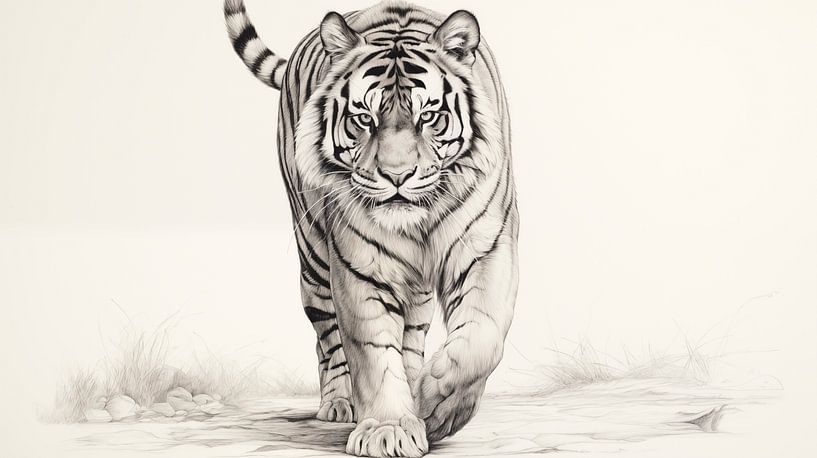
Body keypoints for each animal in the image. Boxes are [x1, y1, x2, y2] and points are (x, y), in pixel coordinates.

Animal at [224, 1, 518, 456]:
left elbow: (481, 338)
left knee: (412, 334)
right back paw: (339, 404)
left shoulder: (487, 250)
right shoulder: (359, 268)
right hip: (313, 257)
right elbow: (373, 352)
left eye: (428, 116)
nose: (396, 176)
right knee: (327, 337)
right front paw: (388, 429)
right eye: (364, 118)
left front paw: (437, 406)